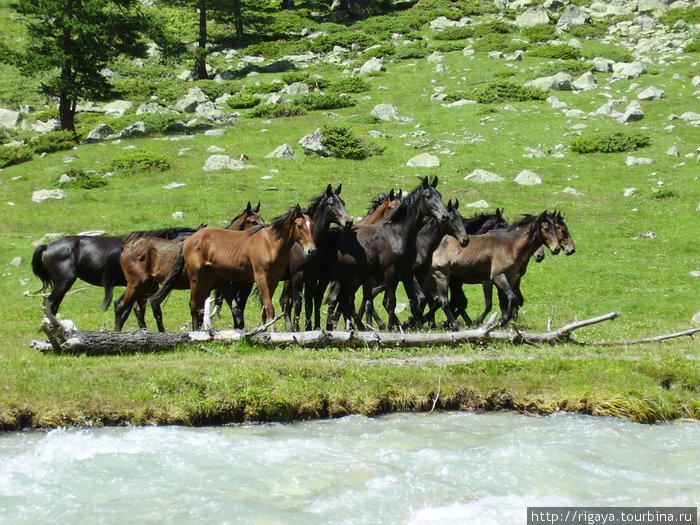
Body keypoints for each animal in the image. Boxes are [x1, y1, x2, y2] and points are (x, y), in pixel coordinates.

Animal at [115, 202, 266, 330]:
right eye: (253, 221)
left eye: (263, 220)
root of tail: (126, 248)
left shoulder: (224, 286)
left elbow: (234, 309)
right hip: (137, 284)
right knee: (121, 305)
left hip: (147, 285)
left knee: (139, 308)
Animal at [156, 204, 318, 328]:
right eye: (299, 226)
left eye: (312, 225)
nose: (311, 250)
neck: (270, 244)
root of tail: (188, 240)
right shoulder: (261, 279)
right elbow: (269, 307)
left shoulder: (272, 281)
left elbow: (263, 308)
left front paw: (262, 330)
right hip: (196, 278)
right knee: (194, 305)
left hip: (209, 281)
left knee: (201, 306)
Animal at [320, 178, 452, 330]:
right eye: (428, 196)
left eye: (440, 195)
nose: (444, 216)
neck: (398, 235)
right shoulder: (390, 272)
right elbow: (390, 301)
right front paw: (391, 327)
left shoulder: (406, 272)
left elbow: (413, 299)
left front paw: (416, 325)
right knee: (338, 299)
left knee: (345, 300)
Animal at [422, 211, 564, 330]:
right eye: (546, 229)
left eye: (555, 228)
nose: (556, 248)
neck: (510, 245)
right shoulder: (497, 277)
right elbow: (511, 298)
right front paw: (493, 321)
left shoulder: (507, 278)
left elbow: (506, 301)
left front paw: (503, 322)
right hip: (442, 276)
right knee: (443, 301)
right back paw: (453, 325)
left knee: (437, 300)